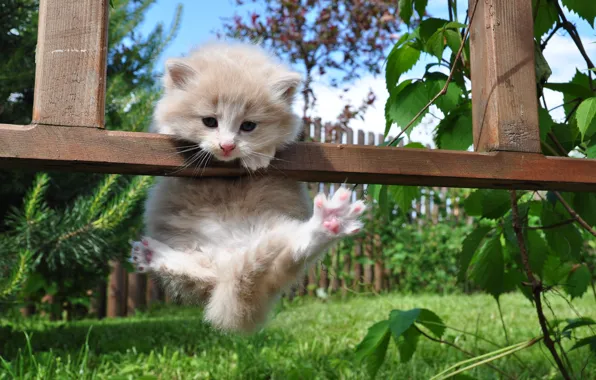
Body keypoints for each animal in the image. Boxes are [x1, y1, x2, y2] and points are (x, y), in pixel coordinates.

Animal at [129, 41, 368, 332]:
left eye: (248, 126)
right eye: (209, 121)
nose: (227, 146)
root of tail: (233, 256)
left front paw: (258, 156)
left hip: (275, 237)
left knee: (294, 249)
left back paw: (330, 222)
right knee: (206, 274)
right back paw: (152, 255)